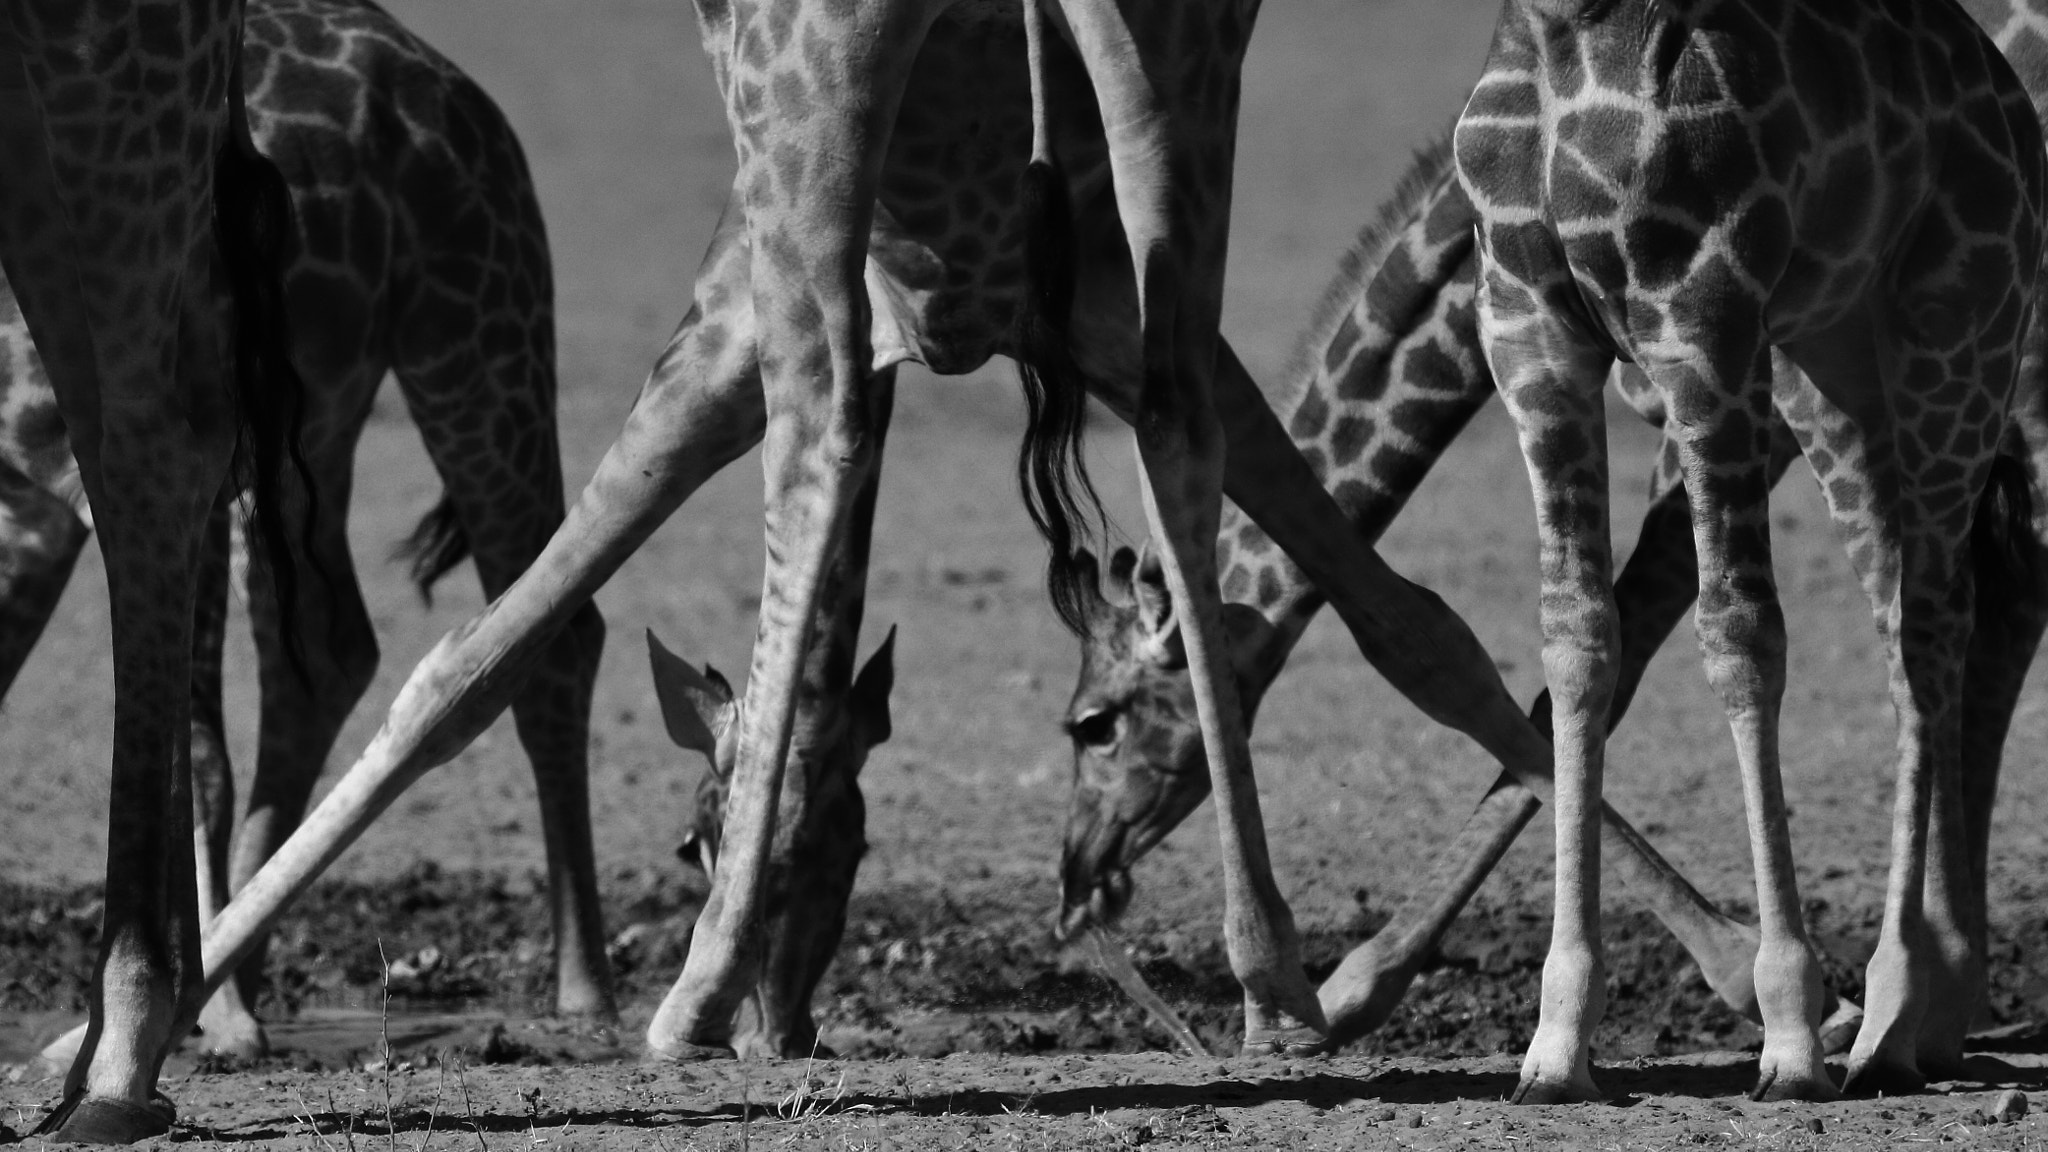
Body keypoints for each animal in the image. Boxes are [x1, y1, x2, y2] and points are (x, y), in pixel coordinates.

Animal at [1466, 0, 2039, 1106]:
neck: (1564, 25)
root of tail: (2005, 96)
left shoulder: (1702, 312)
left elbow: (1741, 639)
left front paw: (1791, 1037)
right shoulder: (1525, 322)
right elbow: (1575, 642)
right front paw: (1555, 1044)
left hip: (1956, 334)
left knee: (1933, 626)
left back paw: (1894, 1016)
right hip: (1829, 363)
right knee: (1902, 615)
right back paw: (1930, 1017)